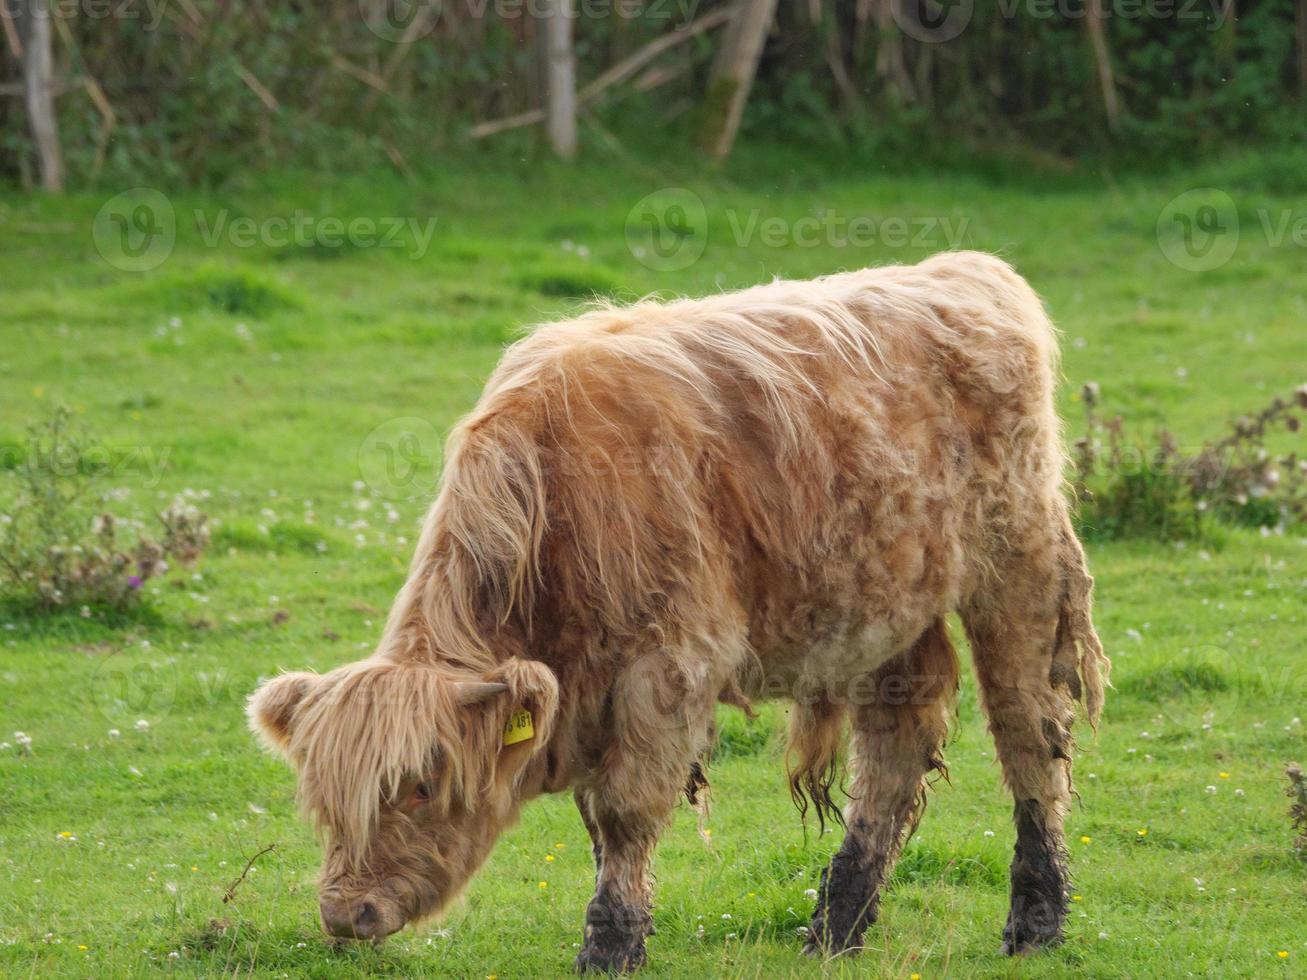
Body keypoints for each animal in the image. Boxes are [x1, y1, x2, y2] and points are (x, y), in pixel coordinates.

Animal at [249, 250, 1108, 977]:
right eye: (323, 799)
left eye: (422, 786)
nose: (346, 913)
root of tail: (964, 268)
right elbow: (598, 825)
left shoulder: (667, 666)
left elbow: (625, 812)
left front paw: (609, 947)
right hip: (884, 606)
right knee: (892, 759)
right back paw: (835, 927)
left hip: (1018, 567)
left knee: (1028, 735)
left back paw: (1034, 920)